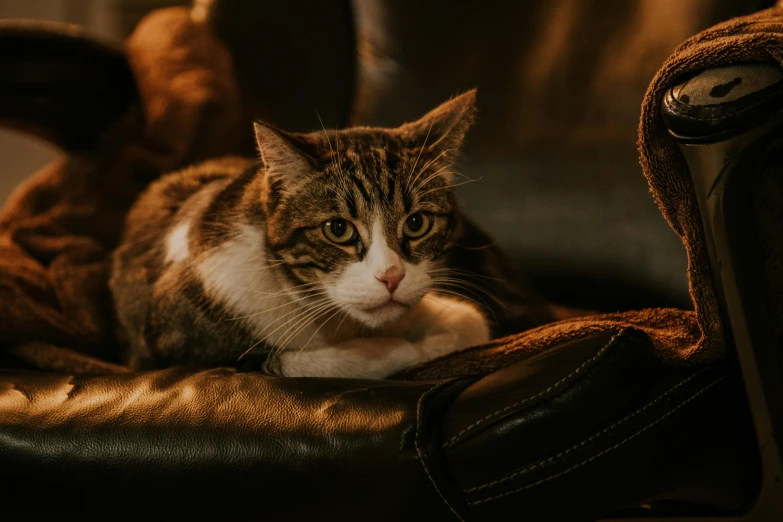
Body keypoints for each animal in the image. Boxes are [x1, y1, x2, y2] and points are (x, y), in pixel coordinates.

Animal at [110, 88, 556, 374]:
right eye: (338, 229)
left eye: (417, 223)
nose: (391, 277)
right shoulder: (177, 340)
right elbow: (315, 361)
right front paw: (403, 350)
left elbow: (470, 321)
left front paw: (431, 340)